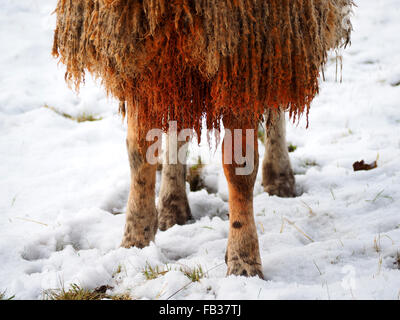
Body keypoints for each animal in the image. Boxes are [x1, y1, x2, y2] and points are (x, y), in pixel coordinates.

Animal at [52, 0, 354, 278]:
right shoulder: (135, 47)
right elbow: (139, 154)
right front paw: (135, 239)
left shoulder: (244, 53)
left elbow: (239, 168)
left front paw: (243, 259)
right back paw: (172, 205)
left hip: (279, 37)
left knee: (277, 96)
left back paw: (279, 176)